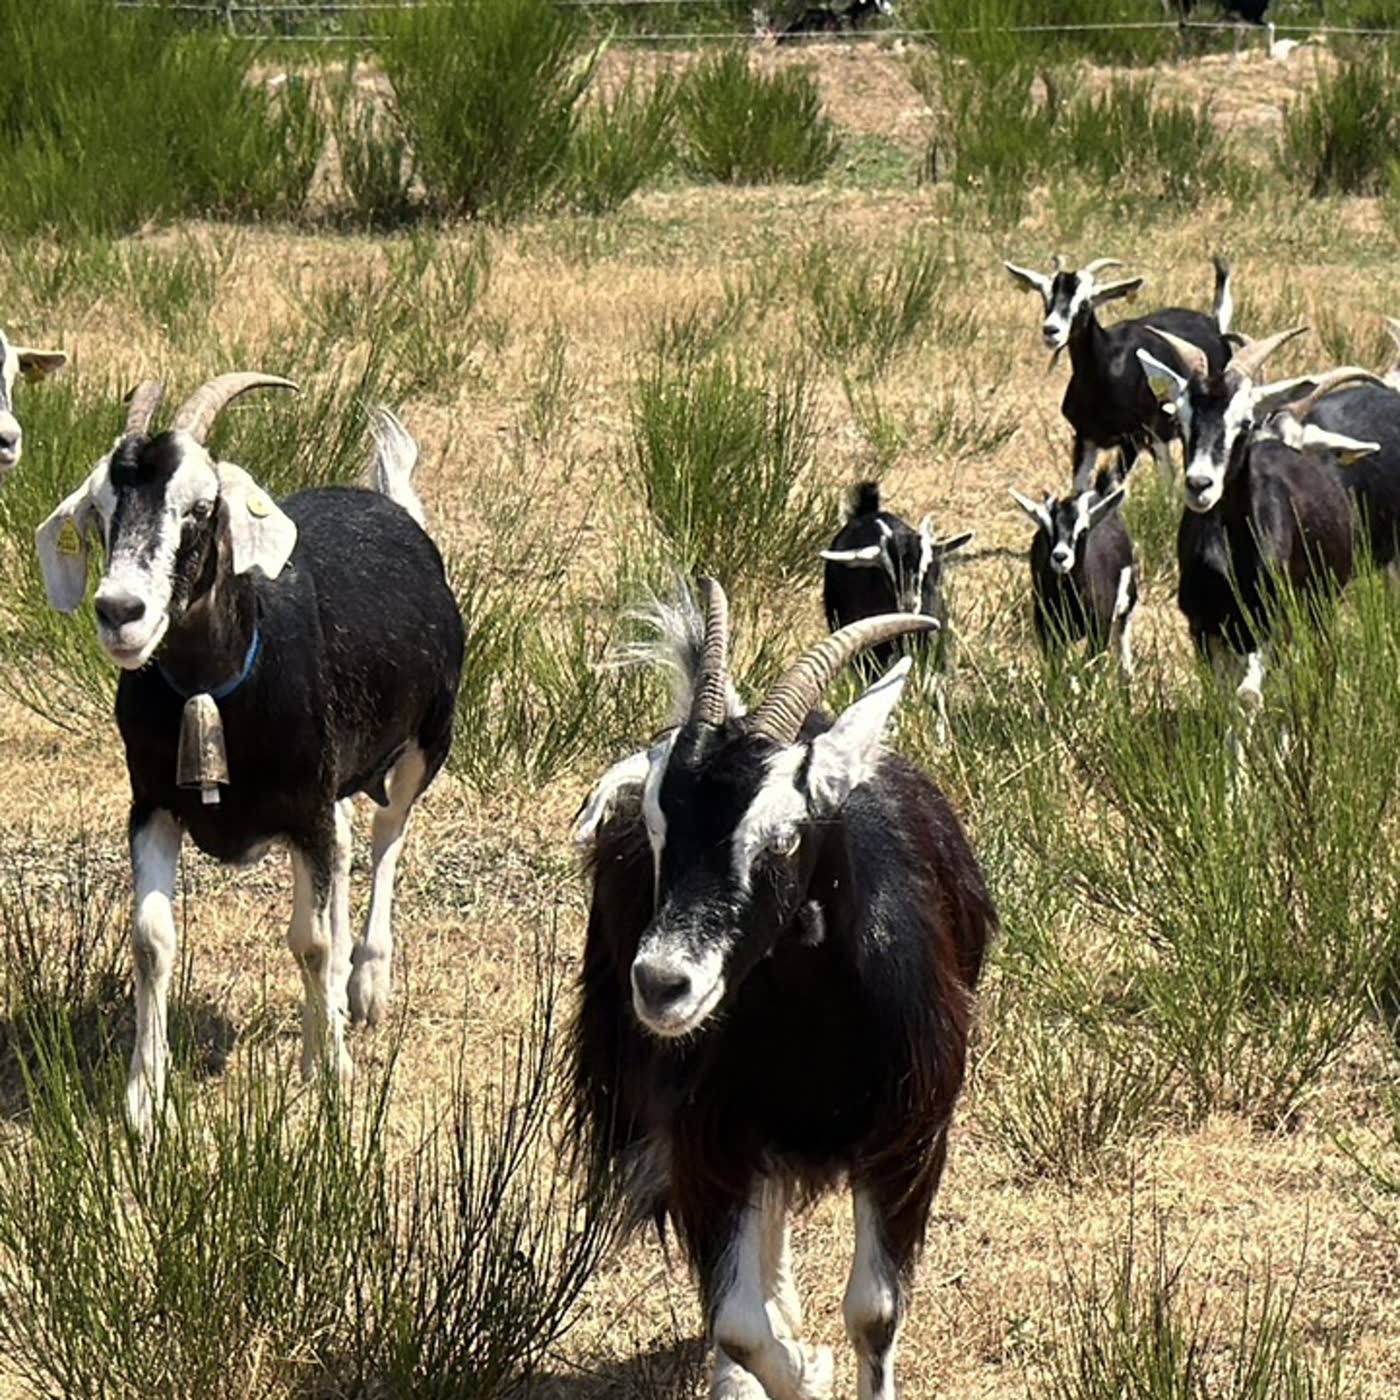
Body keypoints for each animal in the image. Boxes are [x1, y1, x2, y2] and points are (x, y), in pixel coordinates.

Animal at [34, 375, 465, 1135]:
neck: (217, 688)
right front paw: (144, 1099)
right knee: (347, 848)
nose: (119, 612)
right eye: (101, 509)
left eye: (201, 508)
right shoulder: (153, 807)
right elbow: (152, 939)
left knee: (387, 837)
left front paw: (330, 1072)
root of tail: (393, 508)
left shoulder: (305, 810)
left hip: (422, 745)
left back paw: (366, 982)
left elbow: (311, 942)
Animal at [571, 581, 993, 1400]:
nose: (663, 984)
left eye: (787, 836)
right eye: (656, 825)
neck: (815, 1035)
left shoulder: (908, 1137)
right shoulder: (708, 1135)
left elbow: (875, 1312)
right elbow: (739, 1324)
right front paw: (801, 1366)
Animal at [1004, 254, 1234, 490]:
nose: (1051, 331)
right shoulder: (1085, 438)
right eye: (1045, 297)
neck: (1109, 367)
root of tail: (1213, 323)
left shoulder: (1136, 438)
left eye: (1085, 303)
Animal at [1008, 483, 1137, 677]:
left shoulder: (1101, 629)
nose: (1060, 557)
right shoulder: (1048, 630)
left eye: (1083, 531)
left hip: (1125, 608)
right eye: (1046, 530)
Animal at [1137, 328, 1373, 707]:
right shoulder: (1203, 627)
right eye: (1179, 419)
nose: (1199, 485)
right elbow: (1222, 695)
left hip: (1317, 609)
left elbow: (1248, 695)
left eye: (1244, 422)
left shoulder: (1267, 625)